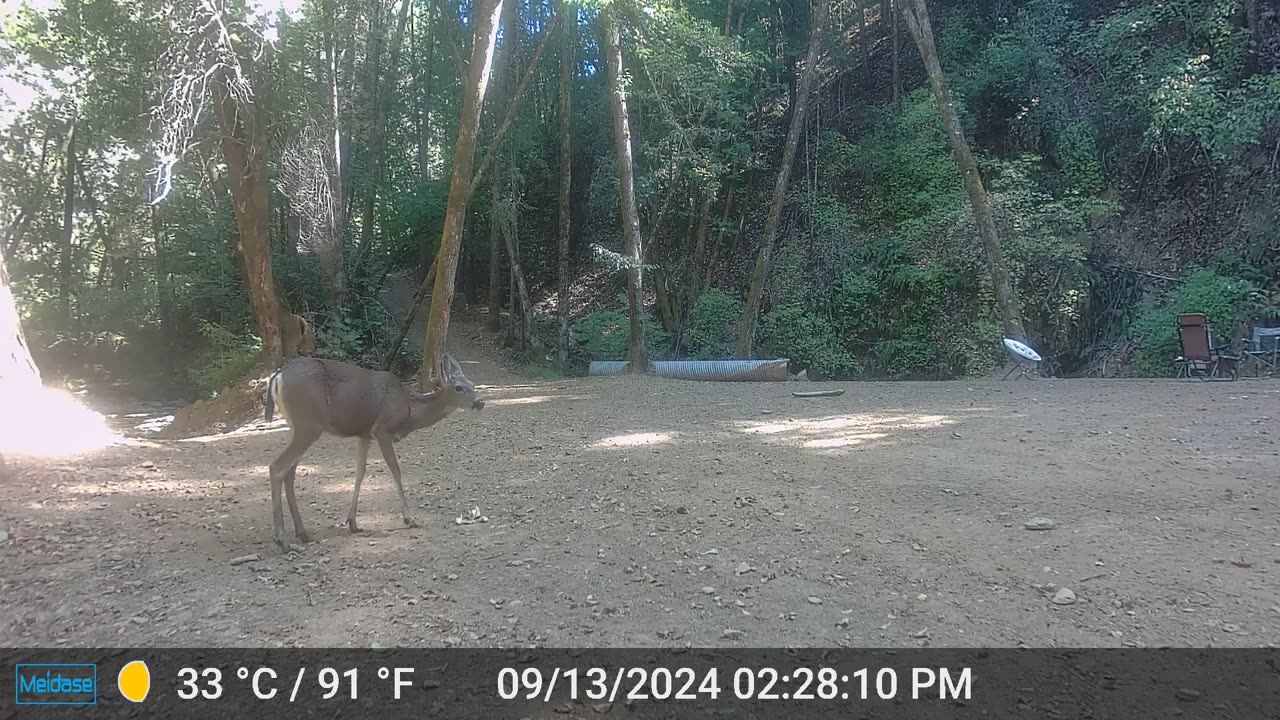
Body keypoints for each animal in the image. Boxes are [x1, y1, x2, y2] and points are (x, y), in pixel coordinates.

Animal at [259, 351, 483, 545]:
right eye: (459, 387)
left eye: (472, 384)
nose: (480, 402)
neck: (409, 410)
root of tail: (278, 375)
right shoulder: (382, 430)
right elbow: (396, 471)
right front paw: (409, 519)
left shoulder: (364, 434)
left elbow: (360, 472)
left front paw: (352, 522)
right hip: (309, 425)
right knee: (277, 467)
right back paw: (282, 540)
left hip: (298, 426)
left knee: (289, 472)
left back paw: (303, 533)